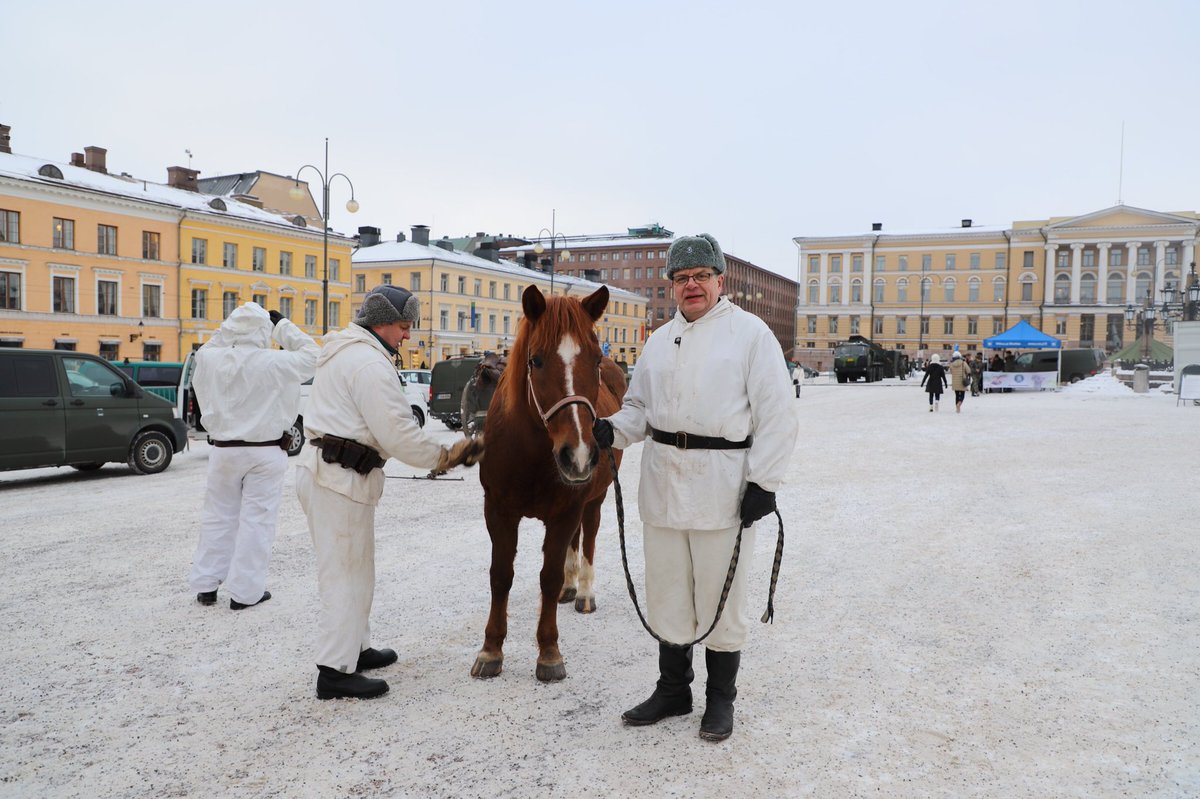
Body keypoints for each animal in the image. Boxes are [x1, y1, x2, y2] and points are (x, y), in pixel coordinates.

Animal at [472, 281, 628, 676]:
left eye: (595, 360)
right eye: (536, 360)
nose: (579, 454)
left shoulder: (567, 510)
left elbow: (549, 574)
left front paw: (549, 651)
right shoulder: (497, 511)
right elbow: (501, 575)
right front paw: (491, 649)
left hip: (594, 500)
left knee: (587, 539)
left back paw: (583, 591)